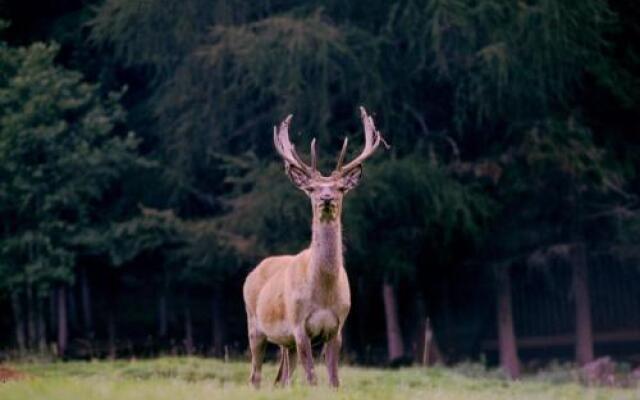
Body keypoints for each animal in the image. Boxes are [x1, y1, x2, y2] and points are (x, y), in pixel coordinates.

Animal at [242, 106, 388, 388]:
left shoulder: (338, 327)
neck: (324, 292)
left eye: (340, 187)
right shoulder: (299, 325)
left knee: (282, 379)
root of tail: (252, 273)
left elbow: (334, 380)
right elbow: (312, 377)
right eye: (311, 188)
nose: (326, 198)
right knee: (255, 375)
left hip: (285, 343)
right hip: (254, 324)